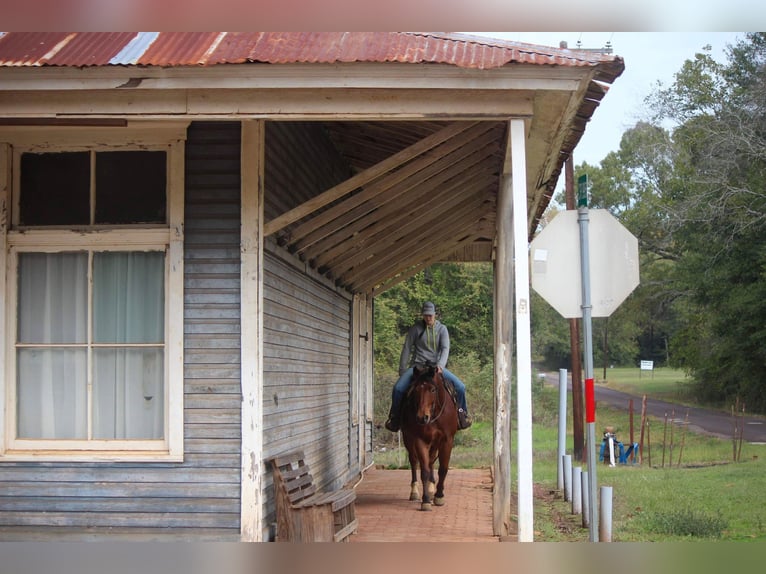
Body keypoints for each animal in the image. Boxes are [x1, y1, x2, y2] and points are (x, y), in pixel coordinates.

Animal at [400, 364, 460, 512]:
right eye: (415, 390)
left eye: (432, 389)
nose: (422, 417)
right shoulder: (419, 440)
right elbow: (424, 471)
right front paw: (426, 500)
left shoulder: (447, 440)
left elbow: (443, 468)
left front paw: (439, 496)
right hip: (408, 439)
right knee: (414, 461)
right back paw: (415, 492)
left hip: (434, 442)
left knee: (432, 460)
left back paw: (432, 489)